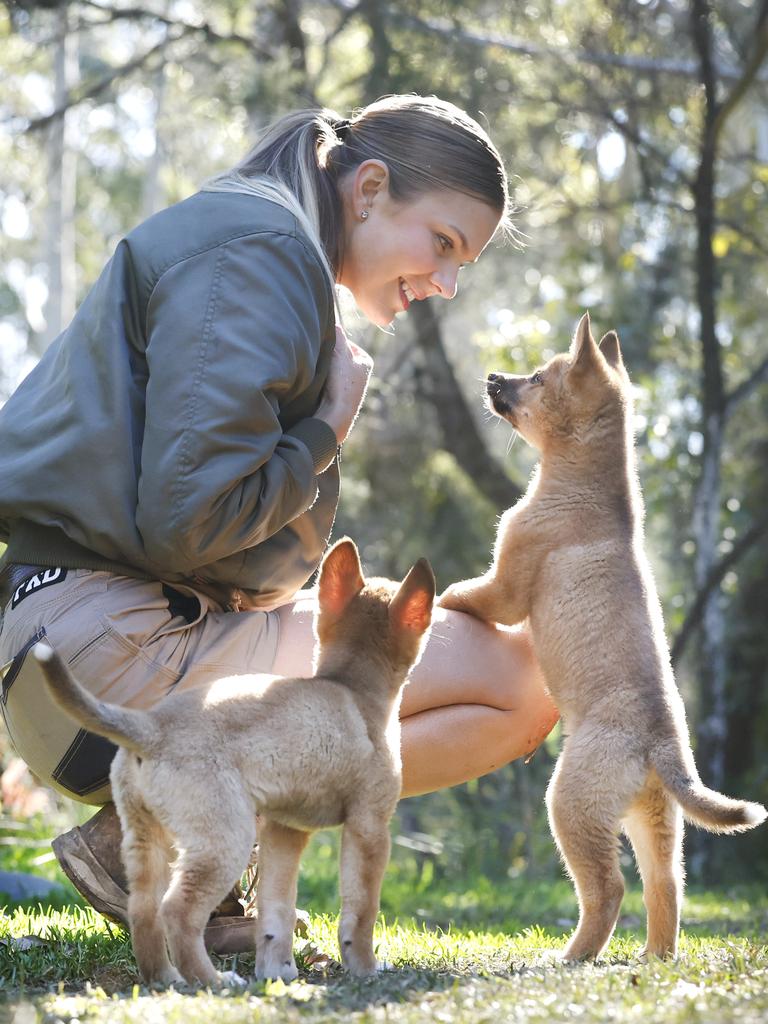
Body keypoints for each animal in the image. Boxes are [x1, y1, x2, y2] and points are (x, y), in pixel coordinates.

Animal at [442, 311, 765, 958]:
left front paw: (435, 600)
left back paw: (572, 956)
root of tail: (662, 741)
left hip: (572, 807)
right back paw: (655, 957)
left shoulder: (504, 585)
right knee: (665, 886)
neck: (584, 487)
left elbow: (464, 593)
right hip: (653, 821)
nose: (492, 377)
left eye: (537, 378)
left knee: (608, 890)